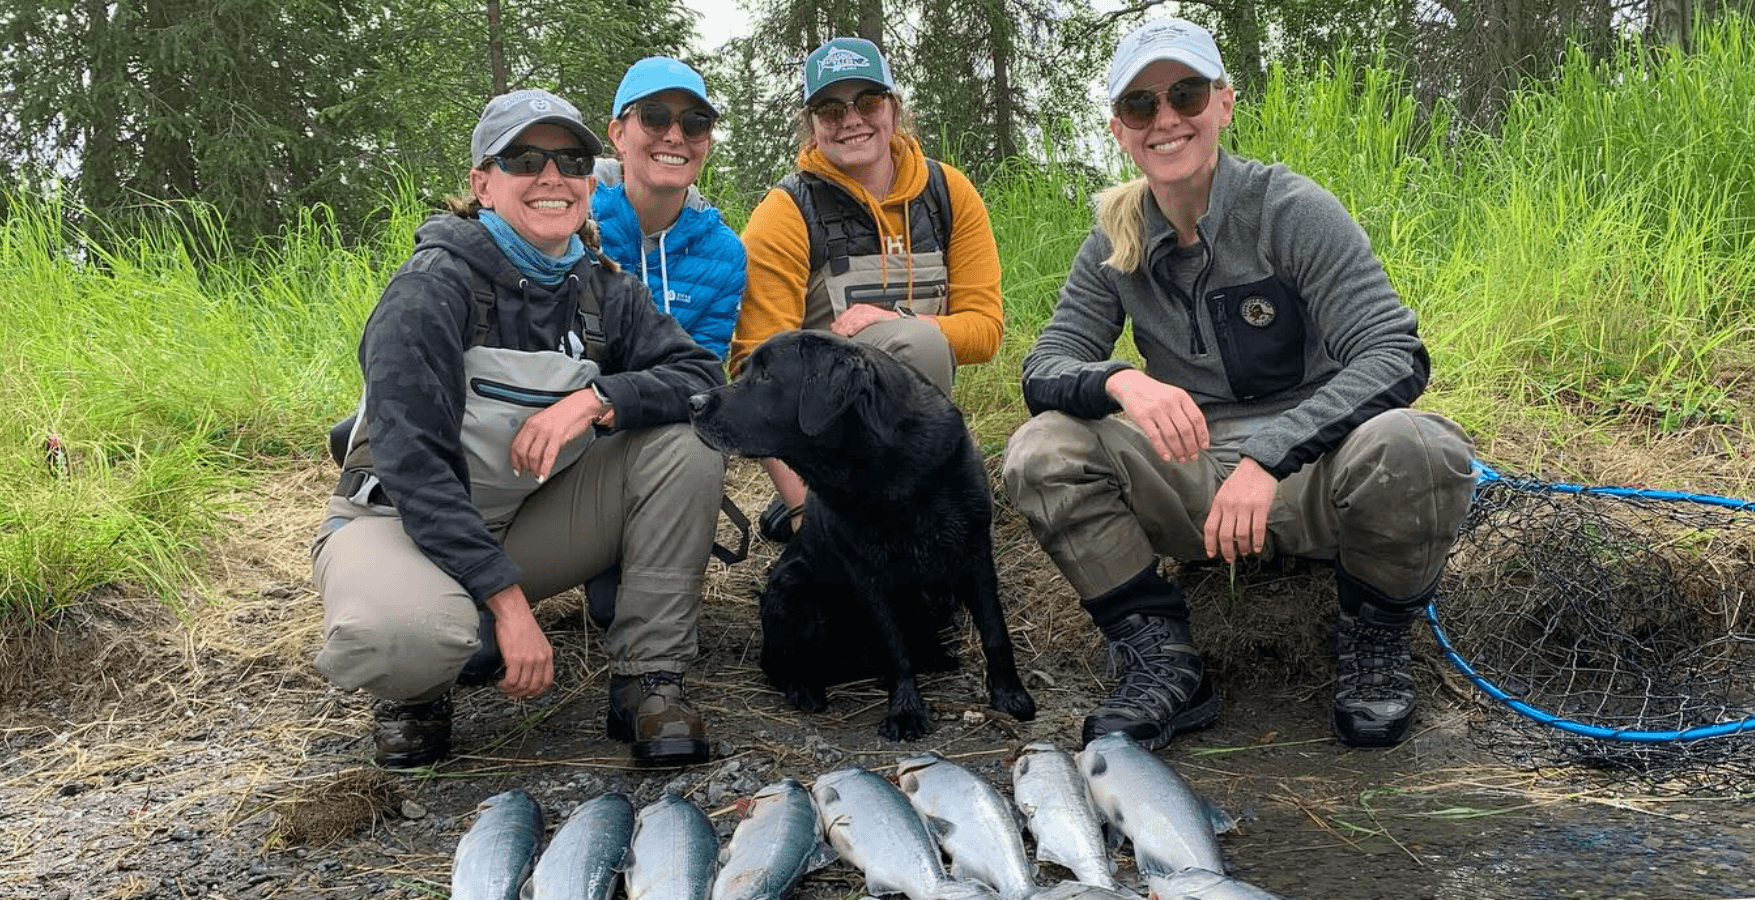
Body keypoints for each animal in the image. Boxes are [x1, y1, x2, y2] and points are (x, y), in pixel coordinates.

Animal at [691, 329, 1031, 736]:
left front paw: (1011, 696)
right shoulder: (869, 576)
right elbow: (895, 649)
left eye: (766, 376)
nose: (693, 402)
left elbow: (996, 633)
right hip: (791, 584)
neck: (887, 472)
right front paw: (905, 711)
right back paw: (806, 690)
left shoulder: (975, 553)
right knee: (777, 664)